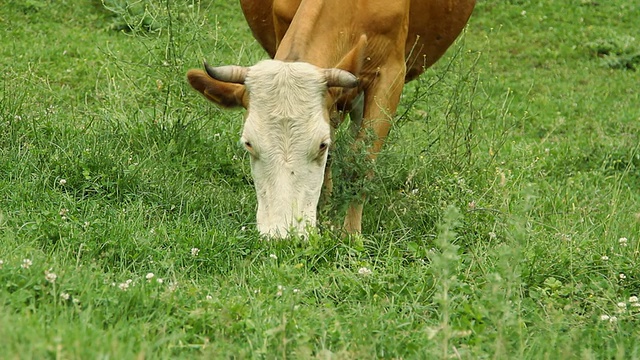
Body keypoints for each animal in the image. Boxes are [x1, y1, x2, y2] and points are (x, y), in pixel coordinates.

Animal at [186, 0, 476, 239]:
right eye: (248, 144)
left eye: (320, 145)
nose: (283, 235)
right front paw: (323, 215)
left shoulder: (390, 73)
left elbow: (361, 160)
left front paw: (350, 234)